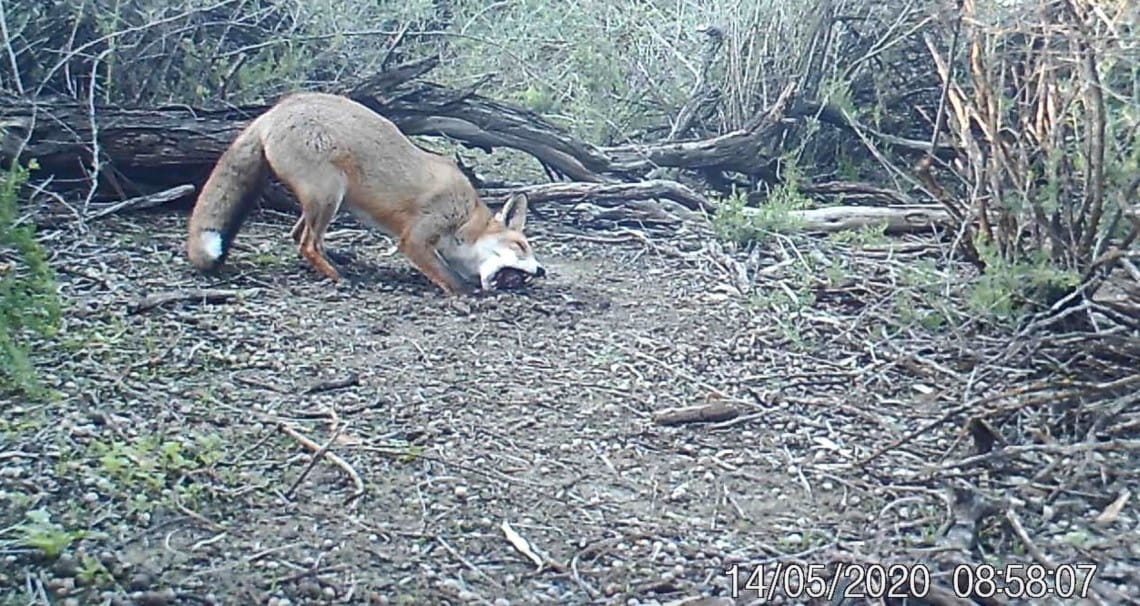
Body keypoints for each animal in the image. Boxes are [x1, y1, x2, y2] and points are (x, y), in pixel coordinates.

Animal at [184, 91, 545, 294]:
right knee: (306, 243)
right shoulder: (415, 238)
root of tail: (274, 110)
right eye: (520, 246)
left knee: (297, 234)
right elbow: (449, 276)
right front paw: (465, 295)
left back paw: (337, 260)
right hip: (329, 194)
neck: (465, 218)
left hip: (328, 201)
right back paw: (338, 275)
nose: (542, 271)